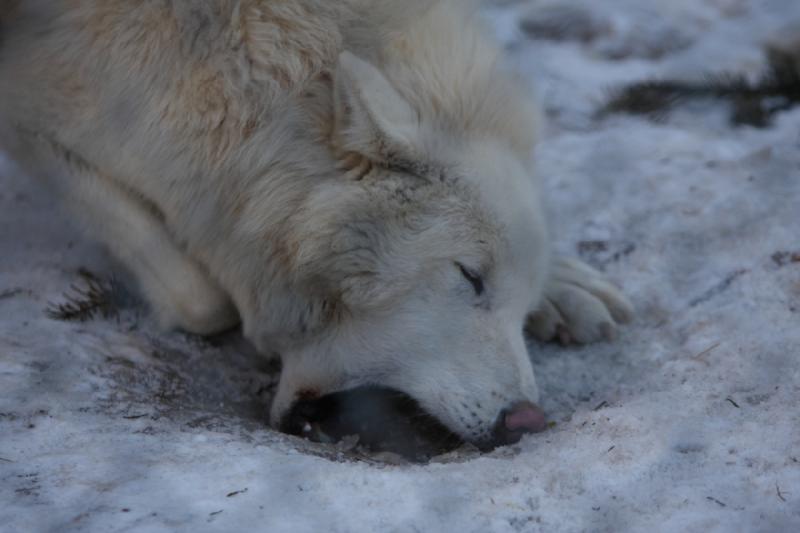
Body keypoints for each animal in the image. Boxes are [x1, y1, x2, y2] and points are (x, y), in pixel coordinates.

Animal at [1, 1, 632, 448]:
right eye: (469, 276)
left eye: (519, 306)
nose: (526, 422)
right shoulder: (33, 111)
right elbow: (202, 302)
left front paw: (564, 286)